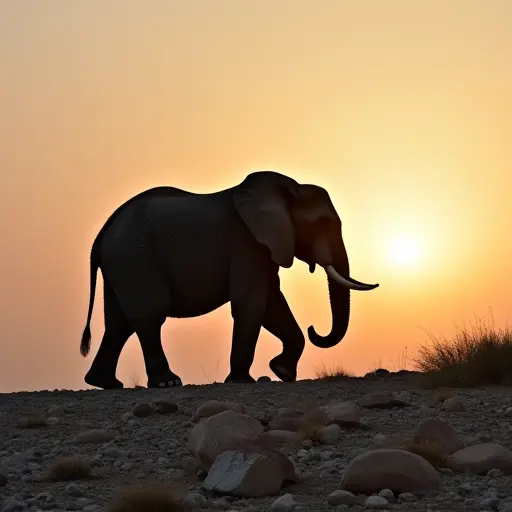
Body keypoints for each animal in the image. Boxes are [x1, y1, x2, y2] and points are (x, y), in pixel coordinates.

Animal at [78, 170, 378, 390]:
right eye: (322, 223)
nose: (314, 328)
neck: (287, 188)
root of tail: (102, 233)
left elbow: (273, 304)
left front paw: (282, 371)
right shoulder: (246, 242)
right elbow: (252, 304)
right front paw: (242, 381)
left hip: (121, 265)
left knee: (119, 324)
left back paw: (106, 383)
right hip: (134, 259)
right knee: (148, 316)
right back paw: (167, 383)